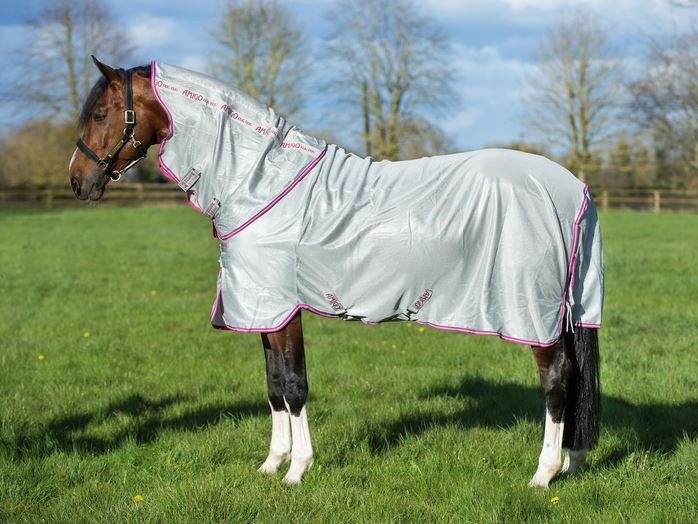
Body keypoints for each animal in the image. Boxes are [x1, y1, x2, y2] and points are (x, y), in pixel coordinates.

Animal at [69, 57, 603, 487]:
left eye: (99, 114)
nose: (77, 181)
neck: (261, 182)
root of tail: (570, 188)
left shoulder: (281, 309)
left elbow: (293, 386)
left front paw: (297, 470)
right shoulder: (266, 311)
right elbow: (273, 388)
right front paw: (271, 464)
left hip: (532, 312)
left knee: (557, 380)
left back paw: (543, 474)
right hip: (569, 310)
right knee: (575, 379)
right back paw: (573, 463)